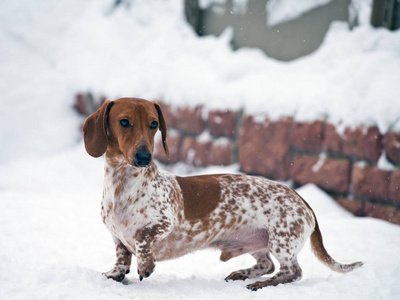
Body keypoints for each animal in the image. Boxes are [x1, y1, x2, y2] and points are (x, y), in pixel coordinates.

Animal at [83, 97, 362, 290]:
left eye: (154, 124)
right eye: (124, 122)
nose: (144, 157)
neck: (123, 187)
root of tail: (303, 200)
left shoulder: (164, 222)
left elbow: (143, 238)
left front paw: (146, 264)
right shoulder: (118, 239)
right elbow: (121, 260)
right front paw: (113, 275)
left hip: (281, 241)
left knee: (292, 271)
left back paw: (261, 284)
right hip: (258, 242)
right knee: (267, 264)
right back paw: (242, 274)